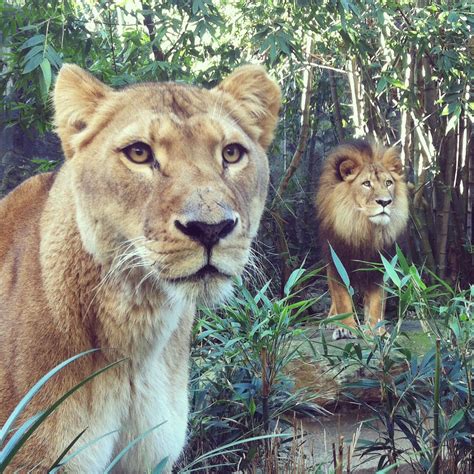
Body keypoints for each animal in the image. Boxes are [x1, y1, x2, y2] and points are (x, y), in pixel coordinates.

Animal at [314, 139, 408, 338]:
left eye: (388, 183)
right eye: (366, 183)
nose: (385, 202)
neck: (364, 228)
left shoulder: (380, 266)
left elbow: (377, 302)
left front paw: (376, 329)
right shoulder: (336, 262)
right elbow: (341, 298)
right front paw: (345, 328)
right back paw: (331, 320)